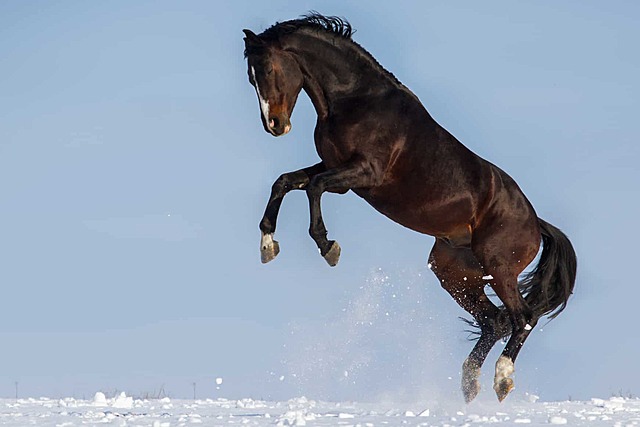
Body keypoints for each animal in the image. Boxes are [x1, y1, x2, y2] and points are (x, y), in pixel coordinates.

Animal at [242, 13, 576, 402]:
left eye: (268, 69)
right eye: (251, 76)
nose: (274, 125)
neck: (355, 101)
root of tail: (535, 222)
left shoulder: (362, 175)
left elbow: (313, 187)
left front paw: (329, 247)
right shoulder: (334, 168)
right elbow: (285, 182)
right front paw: (268, 245)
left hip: (499, 265)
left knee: (522, 317)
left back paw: (502, 379)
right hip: (454, 272)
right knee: (493, 321)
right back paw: (469, 384)